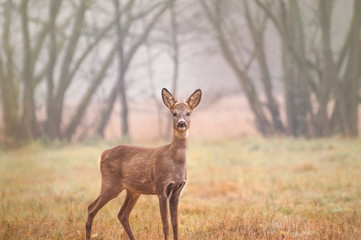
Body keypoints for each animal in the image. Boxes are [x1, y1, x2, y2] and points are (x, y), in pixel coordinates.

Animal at [85, 88, 201, 240]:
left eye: (188, 113)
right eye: (174, 113)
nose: (181, 123)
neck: (175, 162)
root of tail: (102, 155)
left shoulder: (177, 191)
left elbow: (175, 224)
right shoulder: (161, 187)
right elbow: (165, 225)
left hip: (133, 191)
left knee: (122, 214)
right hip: (110, 183)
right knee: (91, 208)